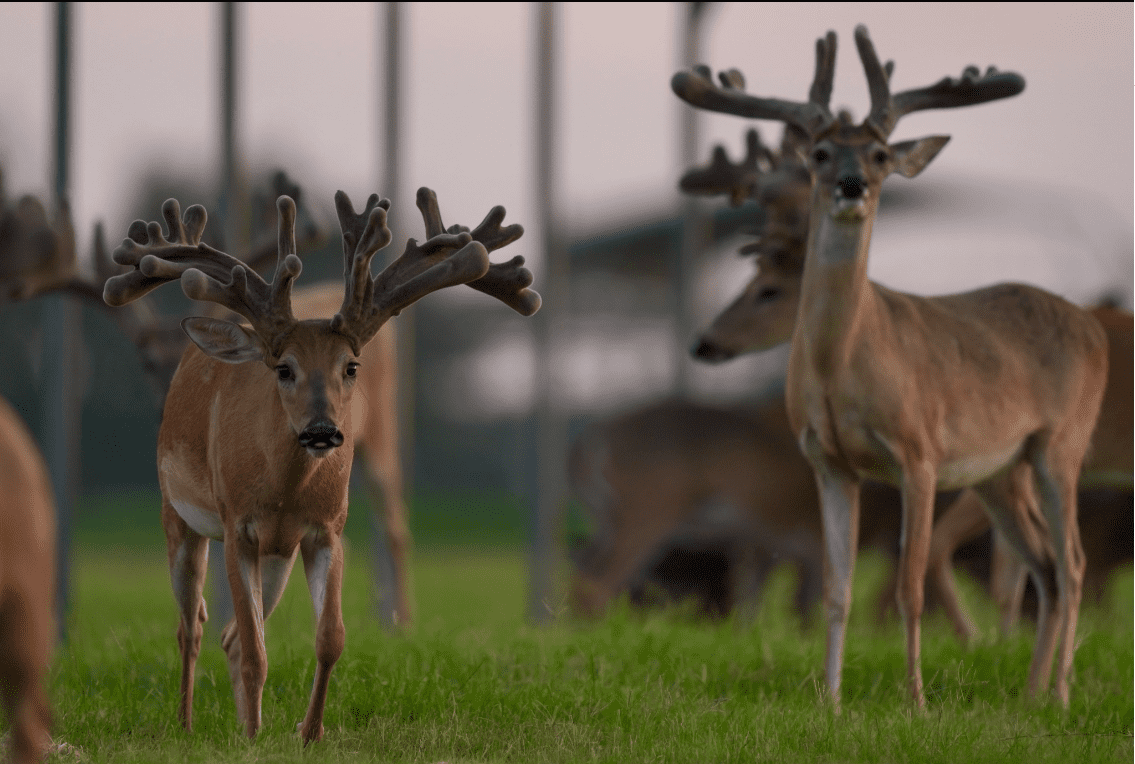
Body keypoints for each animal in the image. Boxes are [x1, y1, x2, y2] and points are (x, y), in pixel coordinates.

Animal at [102, 187, 539, 743]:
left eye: (350, 366)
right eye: (282, 368)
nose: (323, 430)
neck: (283, 493)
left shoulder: (326, 530)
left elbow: (328, 637)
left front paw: (306, 732)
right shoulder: (237, 526)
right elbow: (257, 651)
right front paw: (254, 739)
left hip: (279, 555)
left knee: (228, 634)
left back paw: (242, 720)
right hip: (178, 517)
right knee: (191, 624)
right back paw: (186, 723)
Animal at [673, 26, 1108, 708]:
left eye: (879, 154)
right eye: (821, 152)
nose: (853, 184)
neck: (840, 368)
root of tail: (1092, 326)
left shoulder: (919, 452)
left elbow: (909, 586)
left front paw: (917, 702)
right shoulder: (827, 461)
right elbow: (837, 590)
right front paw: (830, 701)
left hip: (1061, 443)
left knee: (1074, 561)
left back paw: (1060, 694)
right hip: (1000, 471)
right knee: (1045, 565)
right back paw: (1032, 694)